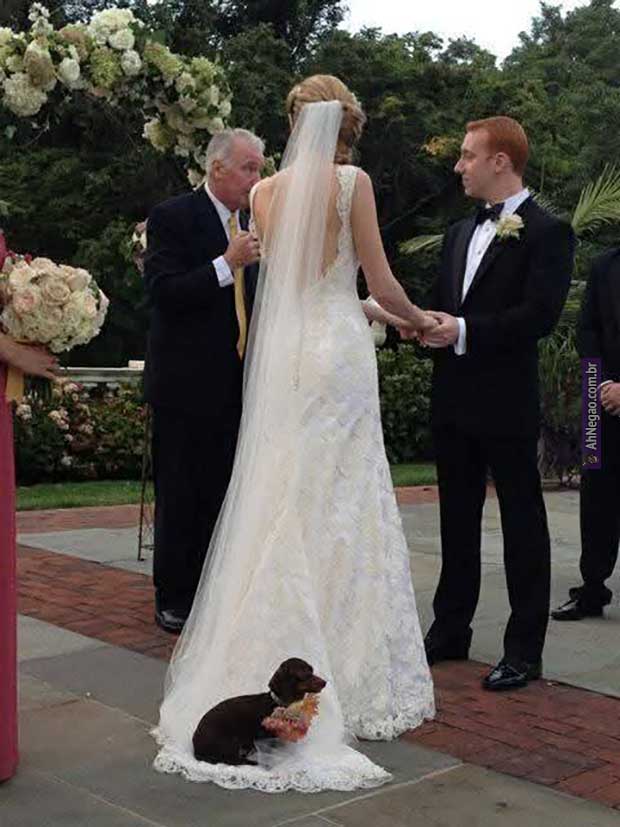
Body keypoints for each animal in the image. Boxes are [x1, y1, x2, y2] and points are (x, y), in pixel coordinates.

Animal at [192, 658, 326, 765]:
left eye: (311, 670)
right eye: (303, 673)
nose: (325, 682)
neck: (284, 706)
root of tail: (195, 746)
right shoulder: (265, 738)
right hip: (230, 740)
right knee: (234, 760)